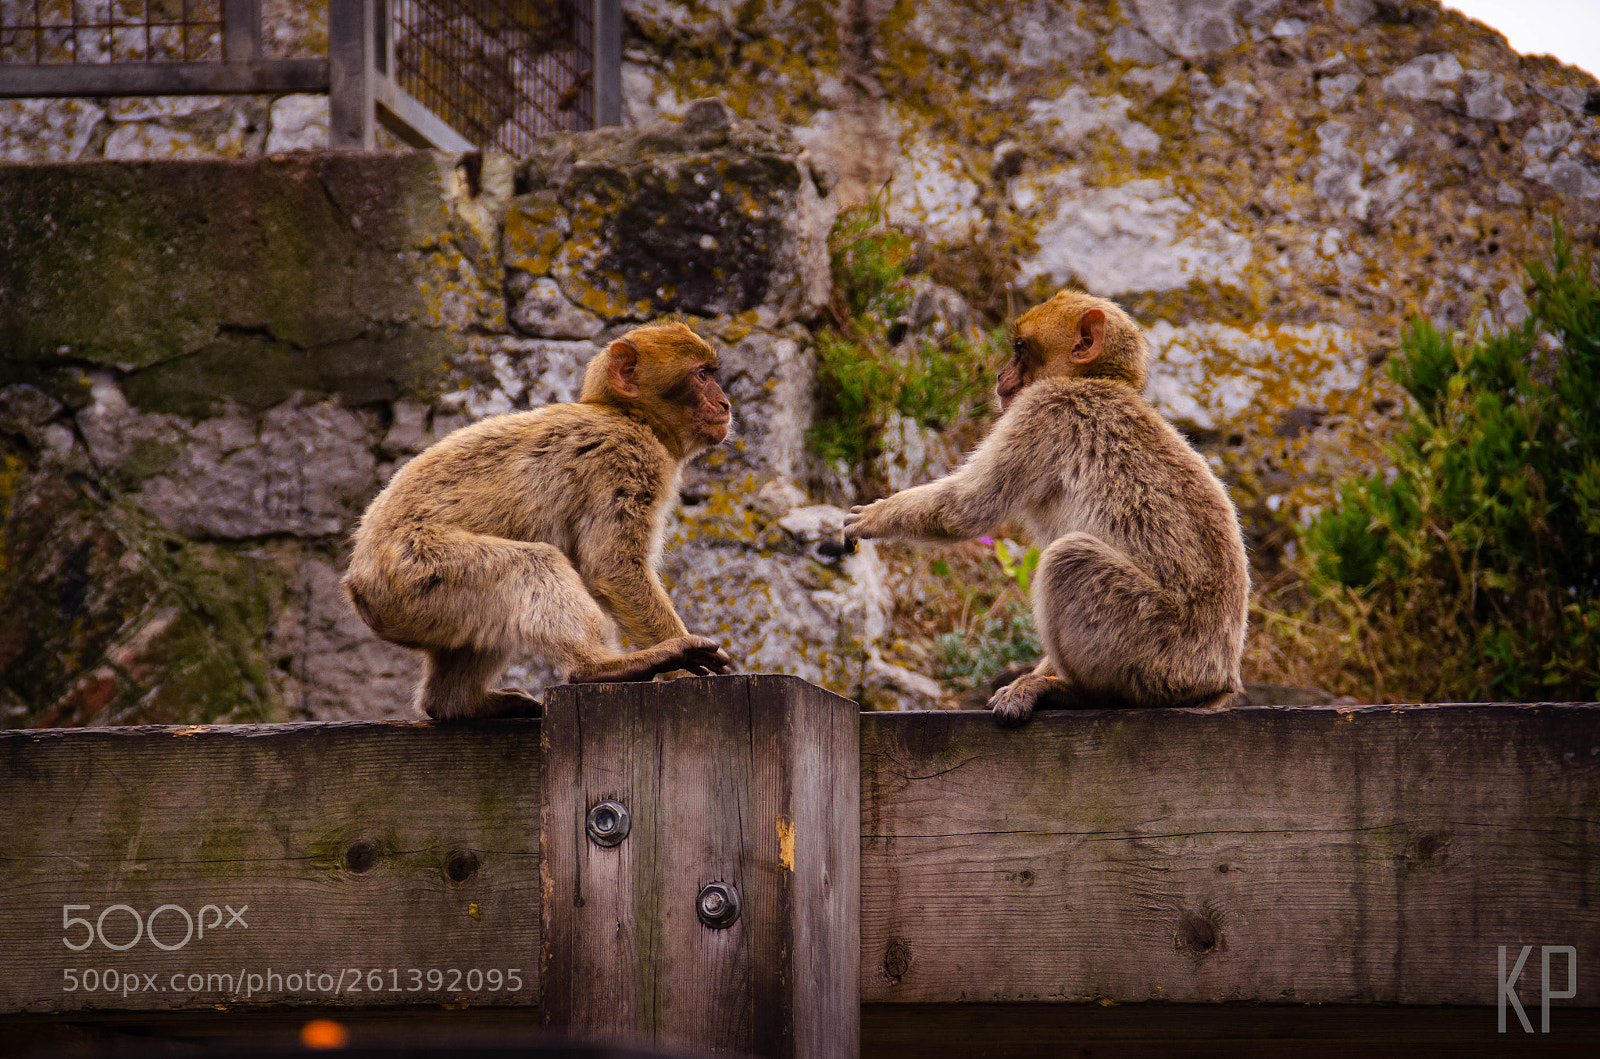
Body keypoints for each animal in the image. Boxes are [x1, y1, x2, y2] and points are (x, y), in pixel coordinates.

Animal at [342, 321, 733, 721]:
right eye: (702, 376)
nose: (725, 404)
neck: (627, 415)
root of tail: (360, 586)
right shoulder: (628, 456)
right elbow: (613, 566)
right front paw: (684, 670)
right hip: (417, 572)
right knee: (532, 563)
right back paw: (599, 667)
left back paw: (456, 702)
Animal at [843, 290, 1249, 726]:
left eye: (1021, 349)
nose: (1001, 376)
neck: (1091, 380)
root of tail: (1219, 680)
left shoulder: (1045, 407)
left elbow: (966, 508)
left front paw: (874, 516)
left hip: (1159, 653)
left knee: (1069, 558)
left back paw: (1080, 693)